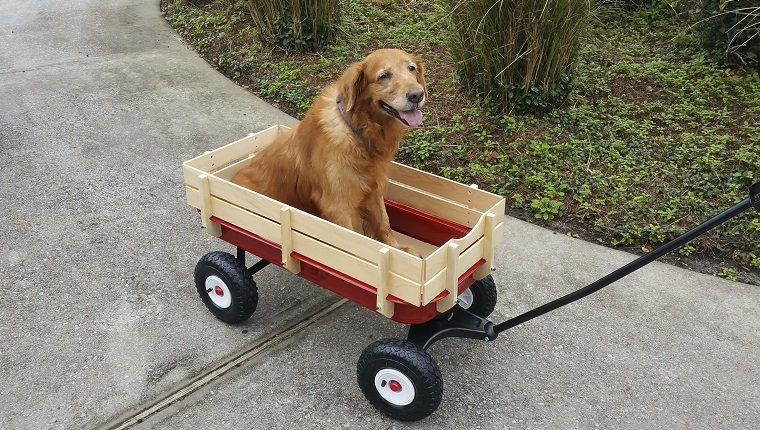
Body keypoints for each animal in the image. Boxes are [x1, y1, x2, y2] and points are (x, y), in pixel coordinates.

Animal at [232, 47, 428, 255]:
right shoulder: (338, 205)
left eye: (411, 68)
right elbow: (350, 243)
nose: (417, 95)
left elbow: (383, 221)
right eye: (384, 75)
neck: (358, 130)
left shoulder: (374, 188)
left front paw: (397, 249)